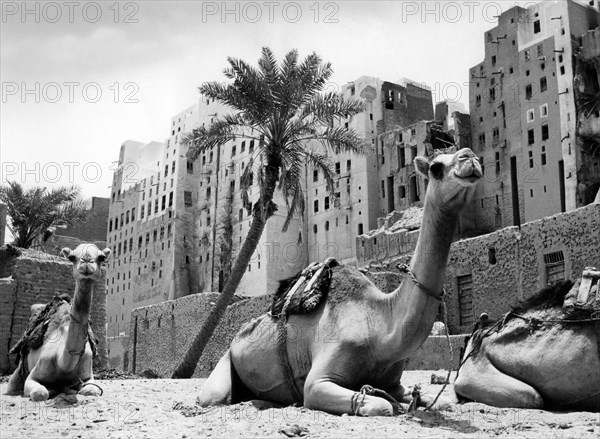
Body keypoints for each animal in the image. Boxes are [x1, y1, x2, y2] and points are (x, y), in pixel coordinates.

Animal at [5, 244, 110, 402]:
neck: (64, 365)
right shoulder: (33, 376)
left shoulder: (88, 376)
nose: (86, 261)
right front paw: (52, 390)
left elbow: (91, 390)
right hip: (17, 373)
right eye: (71, 257)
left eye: (101, 257)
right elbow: (40, 393)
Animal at [198, 148, 482, 416]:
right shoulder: (318, 382)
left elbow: (442, 401)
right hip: (225, 363)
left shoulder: (395, 385)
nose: (470, 157)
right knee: (212, 396)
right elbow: (381, 406)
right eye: (435, 168)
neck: (381, 327)